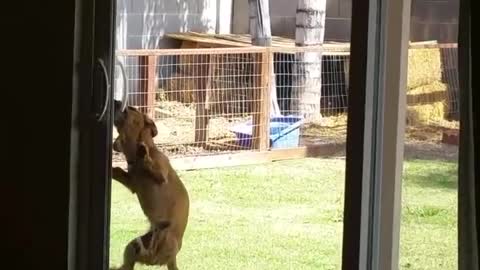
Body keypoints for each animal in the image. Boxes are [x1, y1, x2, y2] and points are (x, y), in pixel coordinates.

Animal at [110, 101, 189, 270]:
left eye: (131, 108)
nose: (115, 101)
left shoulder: (161, 175)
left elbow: (150, 164)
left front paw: (143, 153)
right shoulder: (132, 183)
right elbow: (120, 171)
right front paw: (113, 169)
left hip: (168, 238)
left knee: (156, 241)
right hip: (132, 248)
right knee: (131, 258)